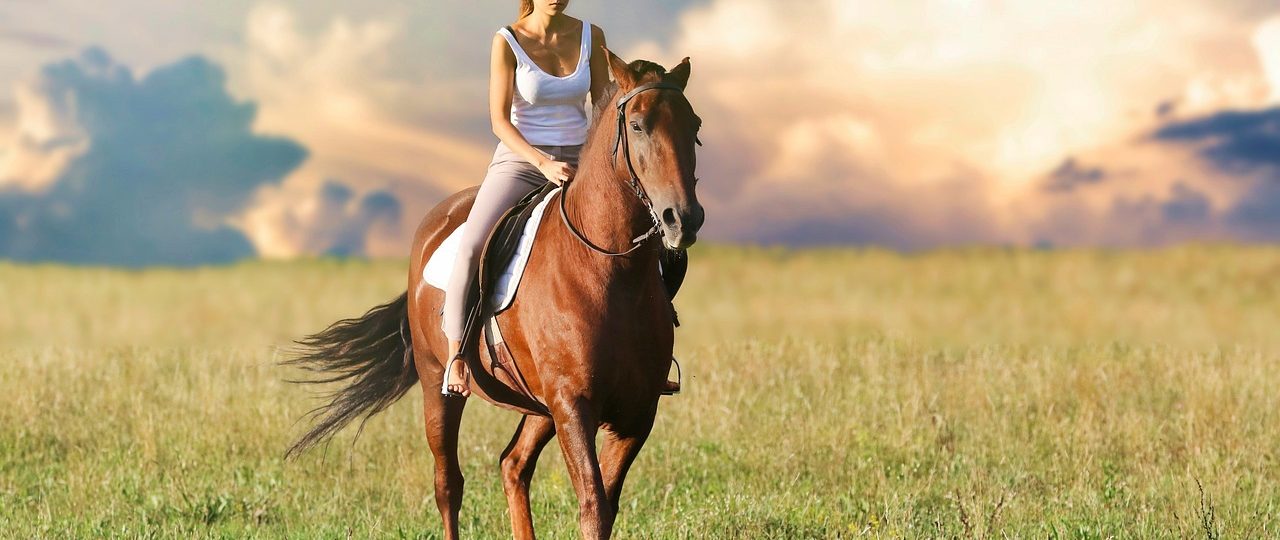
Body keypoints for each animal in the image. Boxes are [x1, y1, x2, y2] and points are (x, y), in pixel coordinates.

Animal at [283, 50, 704, 540]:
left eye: (694, 125)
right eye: (637, 125)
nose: (683, 219)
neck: (611, 272)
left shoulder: (635, 414)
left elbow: (606, 505)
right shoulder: (573, 407)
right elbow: (593, 507)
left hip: (539, 406)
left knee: (513, 464)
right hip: (440, 386)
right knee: (448, 483)